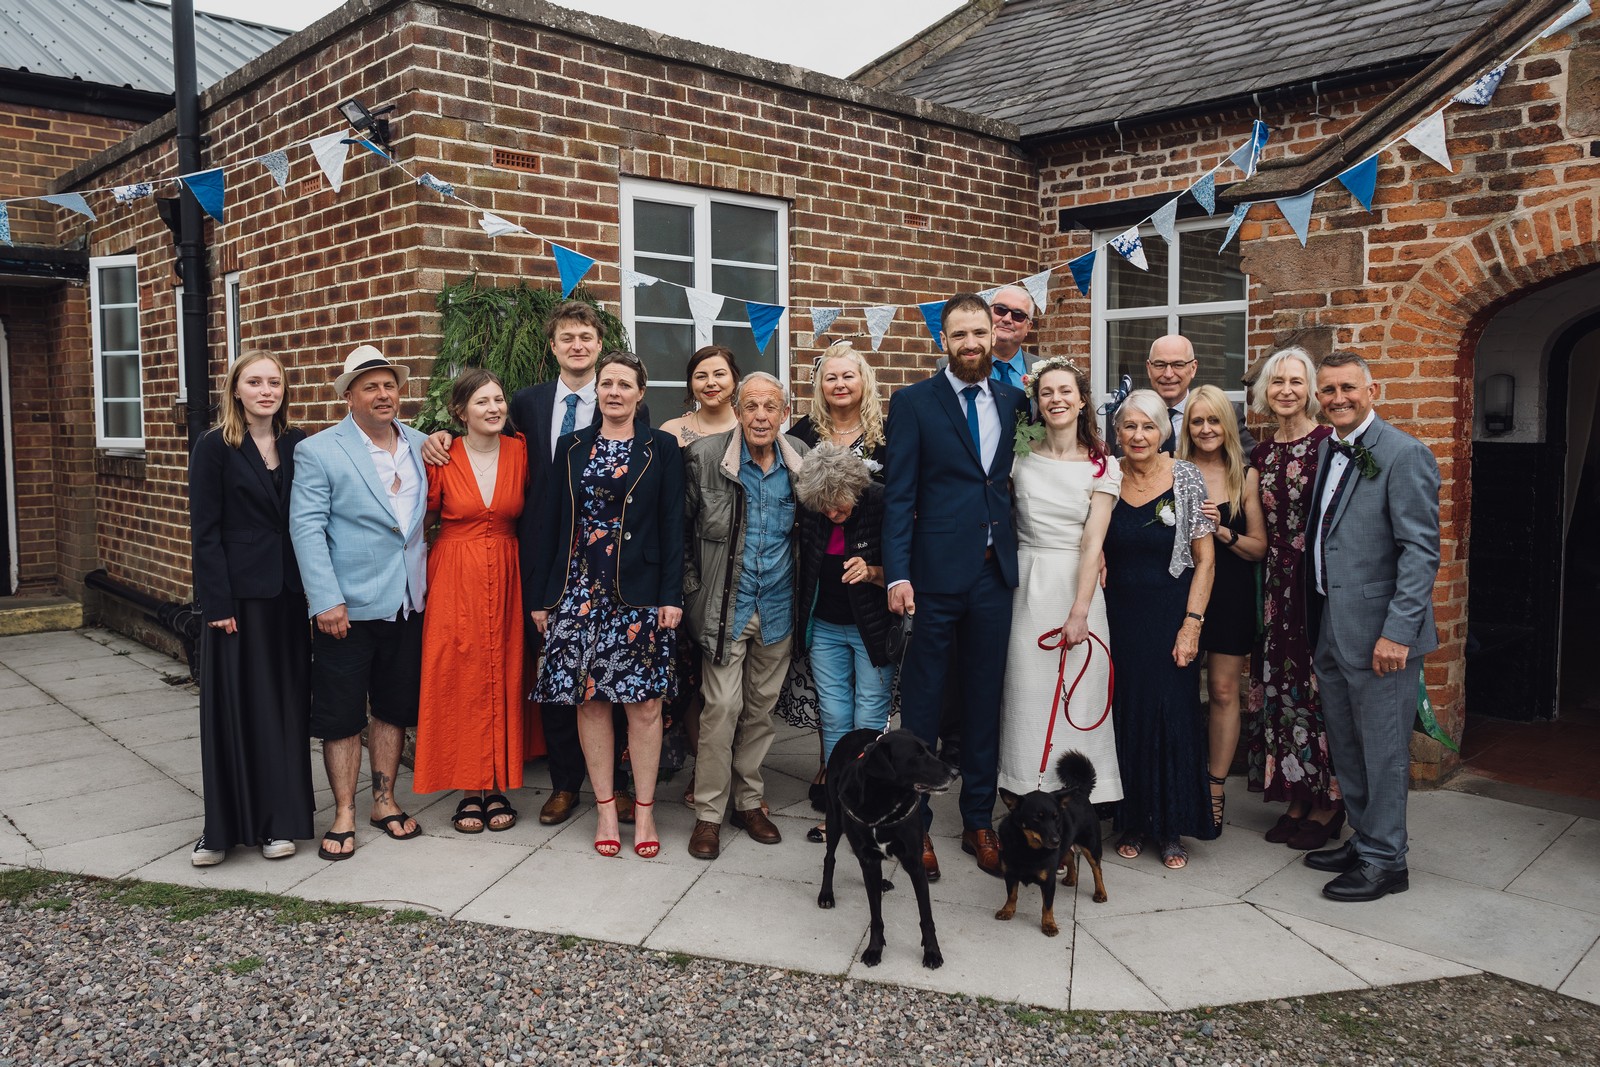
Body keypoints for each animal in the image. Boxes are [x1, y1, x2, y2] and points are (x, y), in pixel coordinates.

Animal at [819, 729, 953, 972]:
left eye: (930, 750)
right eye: (917, 755)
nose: (955, 772)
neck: (884, 801)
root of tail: (854, 732)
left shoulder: (915, 864)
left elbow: (926, 917)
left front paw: (932, 952)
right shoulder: (869, 860)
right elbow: (876, 916)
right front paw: (874, 949)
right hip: (834, 819)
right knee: (829, 858)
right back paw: (826, 894)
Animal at [992, 751, 1107, 934]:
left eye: (1056, 817)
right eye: (1036, 819)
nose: (1055, 840)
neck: (1028, 848)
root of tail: (1081, 791)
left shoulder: (1048, 882)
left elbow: (1047, 905)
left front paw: (1049, 924)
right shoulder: (1010, 873)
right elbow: (1012, 894)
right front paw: (1007, 910)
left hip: (1091, 845)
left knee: (1097, 869)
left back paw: (1100, 892)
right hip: (1067, 844)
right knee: (1069, 854)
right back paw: (1071, 878)